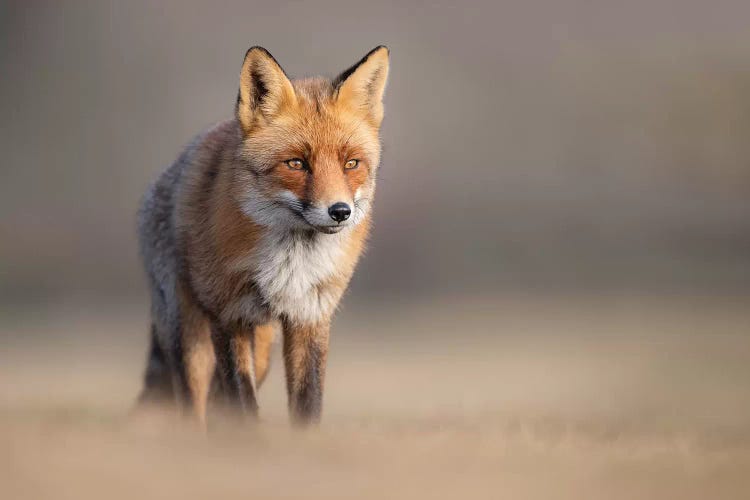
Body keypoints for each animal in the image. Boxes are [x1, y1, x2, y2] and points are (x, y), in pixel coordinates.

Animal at [137, 46, 390, 426]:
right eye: (296, 164)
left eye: (351, 164)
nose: (340, 211)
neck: (292, 263)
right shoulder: (229, 316)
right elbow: (243, 405)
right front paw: (252, 443)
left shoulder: (310, 316)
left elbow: (307, 404)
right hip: (191, 340)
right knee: (194, 408)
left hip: (264, 347)